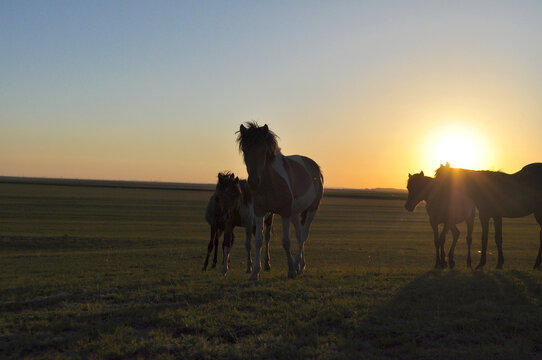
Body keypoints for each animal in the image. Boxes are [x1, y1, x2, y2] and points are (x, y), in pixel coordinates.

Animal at [237, 122, 324, 280]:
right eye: (245, 149)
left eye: (263, 150)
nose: (253, 182)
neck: (270, 181)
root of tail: (315, 168)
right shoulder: (259, 212)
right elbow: (258, 240)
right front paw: (255, 272)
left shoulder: (285, 213)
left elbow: (286, 242)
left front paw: (290, 270)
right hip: (295, 213)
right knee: (299, 234)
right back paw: (300, 266)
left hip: (311, 210)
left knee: (303, 235)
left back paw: (296, 266)